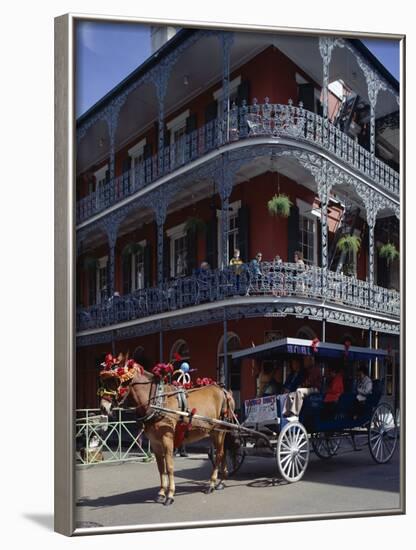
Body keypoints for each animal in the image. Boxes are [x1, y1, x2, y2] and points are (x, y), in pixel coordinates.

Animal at [96, 362, 234, 508]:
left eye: (117, 382)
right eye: (103, 382)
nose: (103, 407)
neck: (158, 403)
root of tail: (223, 390)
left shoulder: (167, 440)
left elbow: (169, 467)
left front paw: (170, 495)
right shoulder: (155, 443)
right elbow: (161, 468)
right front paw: (161, 493)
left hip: (218, 431)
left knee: (219, 454)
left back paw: (212, 483)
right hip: (217, 432)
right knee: (223, 452)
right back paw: (222, 481)